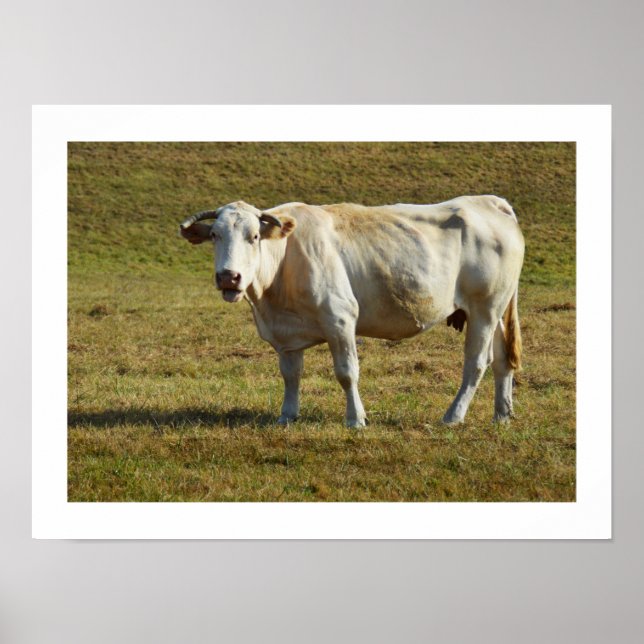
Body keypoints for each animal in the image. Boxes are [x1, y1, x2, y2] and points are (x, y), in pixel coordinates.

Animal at [179, 197, 524, 427]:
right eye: (215, 235)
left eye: (253, 237)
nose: (229, 276)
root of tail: (489, 202)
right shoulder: (286, 334)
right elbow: (291, 375)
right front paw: (287, 416)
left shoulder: (340, 318)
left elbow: (347, 372)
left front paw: (355, 419)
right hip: (498, 309)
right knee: (502, 361)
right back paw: (502, 415)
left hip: (484, 307)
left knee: (476, 363)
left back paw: (453, 416)